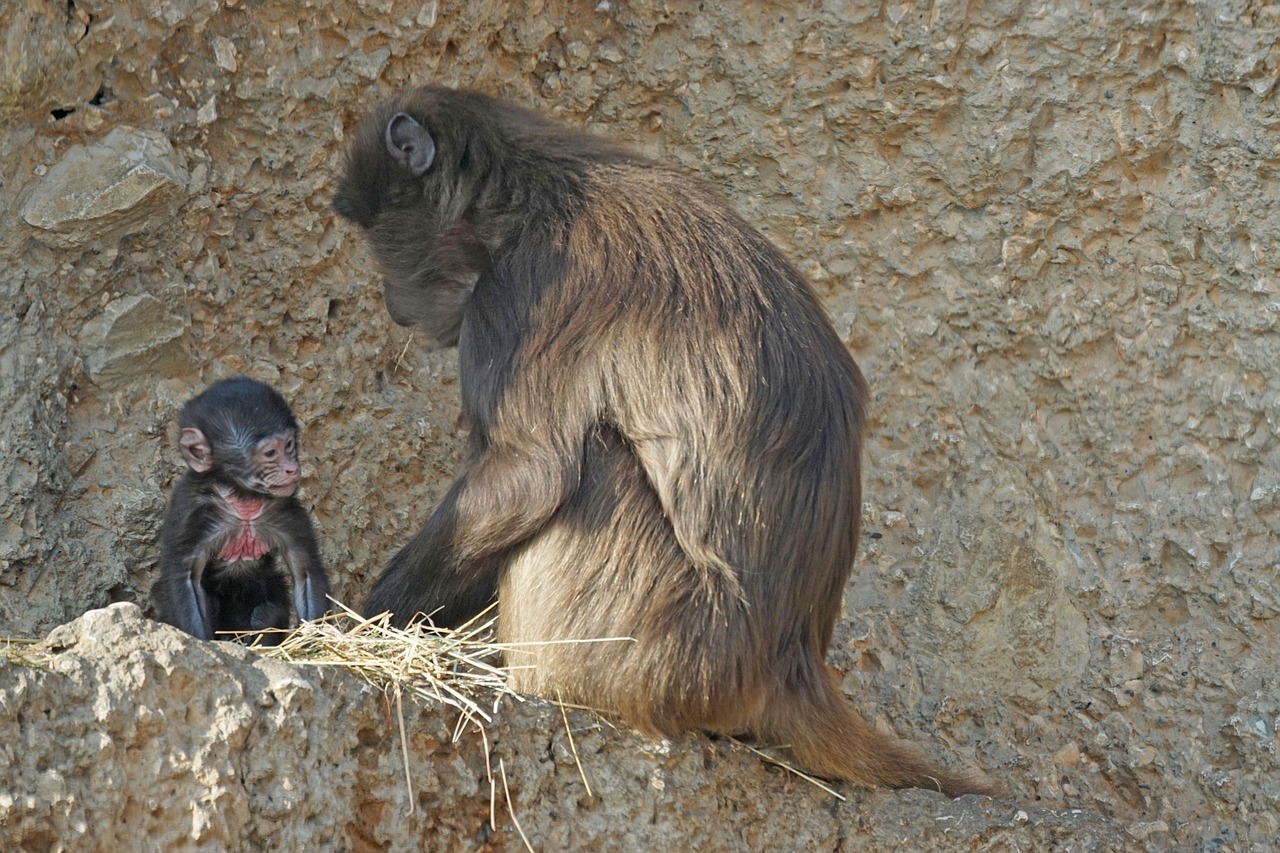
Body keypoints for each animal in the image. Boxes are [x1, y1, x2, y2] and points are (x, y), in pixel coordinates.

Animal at [152, 376, 330, 640]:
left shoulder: (285, 509)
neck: (242, 498)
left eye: (288, 445)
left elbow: (306, 573)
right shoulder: (189, 510)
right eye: (270, 453)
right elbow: (185, 579)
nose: (292, 468)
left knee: (264, 613)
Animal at [332, 84, 988, 788]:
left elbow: (527, 480)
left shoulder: (517, 293)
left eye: (375, 236)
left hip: (653, 647)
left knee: (592, 461)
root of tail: (791, 662)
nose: (392, 301)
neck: (529, 189)